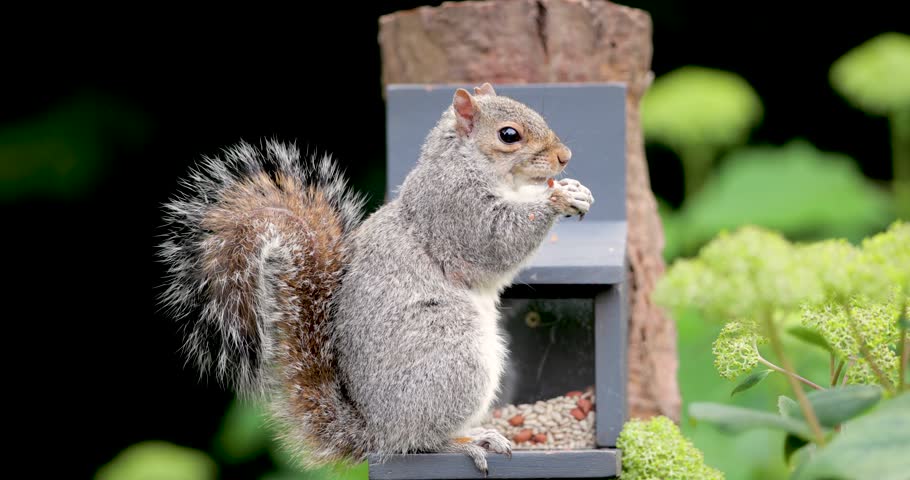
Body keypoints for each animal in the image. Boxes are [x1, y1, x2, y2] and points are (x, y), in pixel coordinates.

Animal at [157, 82, 594, 475]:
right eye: (509, 135)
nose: (565, 157)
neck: (467, 163)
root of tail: (377, 432)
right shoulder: (456, 210)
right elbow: (496, 240)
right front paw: (556, 198)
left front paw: (575, 190)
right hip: (453, 357)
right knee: (419, 441)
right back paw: (466, 440)